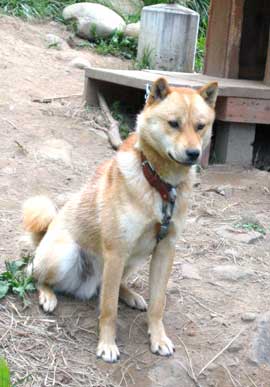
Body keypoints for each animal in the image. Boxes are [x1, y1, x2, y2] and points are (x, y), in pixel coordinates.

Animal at [22, 78, 217, 364]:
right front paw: (107, 344)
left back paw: (131, 295)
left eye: (200, 126)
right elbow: (108, 310)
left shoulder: (164, 250)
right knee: (38, 276)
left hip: (134, 259)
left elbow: (158, 304)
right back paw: (48, 296)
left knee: (110, 287)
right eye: (174, 123)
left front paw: (158, 338)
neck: (160, 184)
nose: (194, 153)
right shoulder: (116, 252)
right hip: (65, 254)